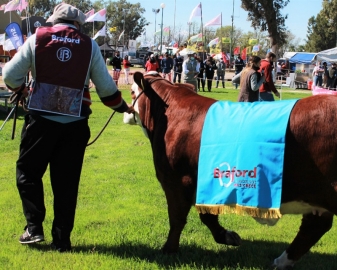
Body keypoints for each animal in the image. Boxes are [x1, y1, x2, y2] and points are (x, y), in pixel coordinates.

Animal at [124, 70, 336, 268]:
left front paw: (168, 250)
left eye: (132, 91)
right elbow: (207, 216)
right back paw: (281, 262)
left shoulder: (175, 179)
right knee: (314, 227)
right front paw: (227, 236)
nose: (125, 112)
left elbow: (177, 217)